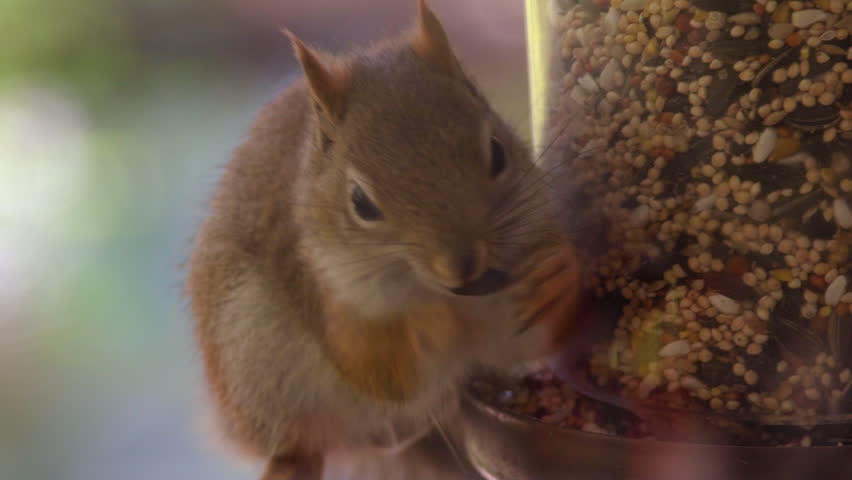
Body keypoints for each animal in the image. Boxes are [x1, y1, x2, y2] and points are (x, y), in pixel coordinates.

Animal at [185, 1, 581, 479]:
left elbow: (530, 338)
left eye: (499, 153)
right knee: (302, 443)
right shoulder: (326, 293)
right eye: (360, 202)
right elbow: (382, 372)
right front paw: (435, 319)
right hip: (253, 363)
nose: (462, 267)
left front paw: (559, 274)